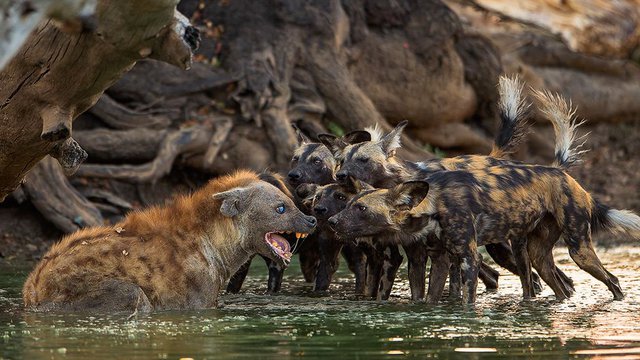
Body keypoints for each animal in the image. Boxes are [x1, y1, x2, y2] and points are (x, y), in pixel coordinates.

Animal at [23, 170, 316, 310]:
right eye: (280, 208)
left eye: (291, 203)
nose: (311, 220)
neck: (214, 245)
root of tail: (33, 289)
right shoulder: (198, 299)